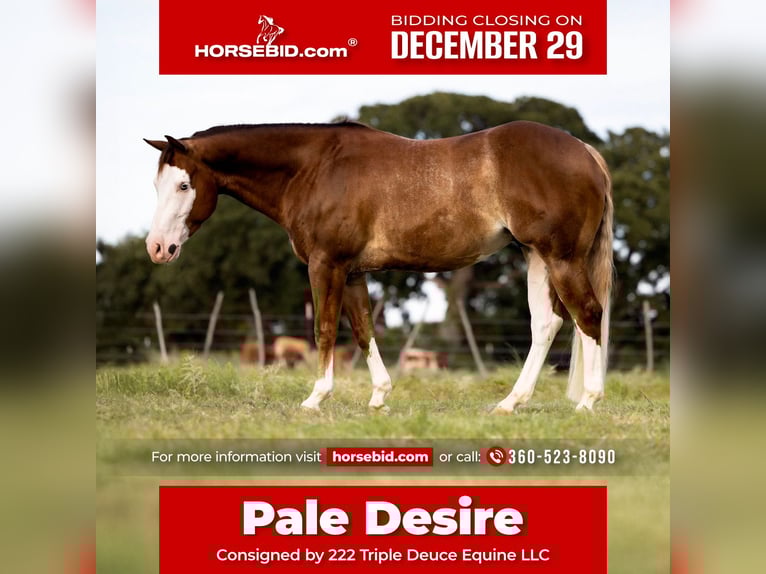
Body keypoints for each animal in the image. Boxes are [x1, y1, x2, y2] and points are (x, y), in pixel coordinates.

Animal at [143, 121, 613, 413]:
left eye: (183, 184)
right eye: (157, 185)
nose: (158, 248)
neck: (314, 168)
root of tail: (584, 151)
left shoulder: (326, 265)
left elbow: (325, 330)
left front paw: (316, 398)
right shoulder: (352, 273)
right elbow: (363, 330)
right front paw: (379, 396)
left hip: (560, 258)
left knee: (588, 315)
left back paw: (589, 400)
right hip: (536, 257)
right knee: (547, 325)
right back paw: (510, 403)